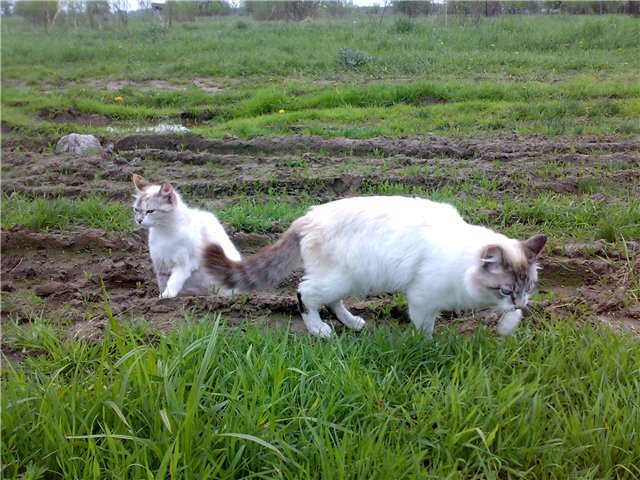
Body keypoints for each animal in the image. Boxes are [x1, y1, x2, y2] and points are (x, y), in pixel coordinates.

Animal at [203, 196, 546, 338]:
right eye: (505, 290)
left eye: (527, 289)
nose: (520, 301)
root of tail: (306, 217)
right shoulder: (422, 297)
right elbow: (424, 328)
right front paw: (427, 346)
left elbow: (511, 318)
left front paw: (507, 327)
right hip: (337, 278)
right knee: (305, 295)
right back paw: (320, 330)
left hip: (350, 279)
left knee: (331, 300)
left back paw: (353, 323)